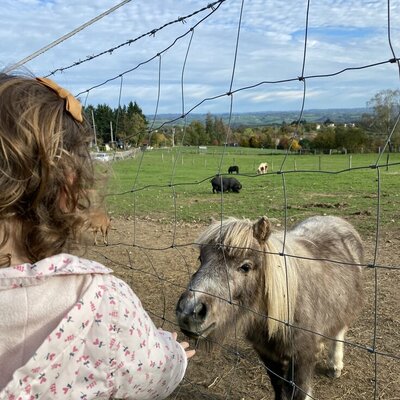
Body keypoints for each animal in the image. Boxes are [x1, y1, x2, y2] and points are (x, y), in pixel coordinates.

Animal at [177, 217, 364, 398]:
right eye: (201, 259)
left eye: (245, 266)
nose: (189, 312)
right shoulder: (267, 355)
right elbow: (279, 389)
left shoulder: (301, 359)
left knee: (339, 333)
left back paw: (335, 366)